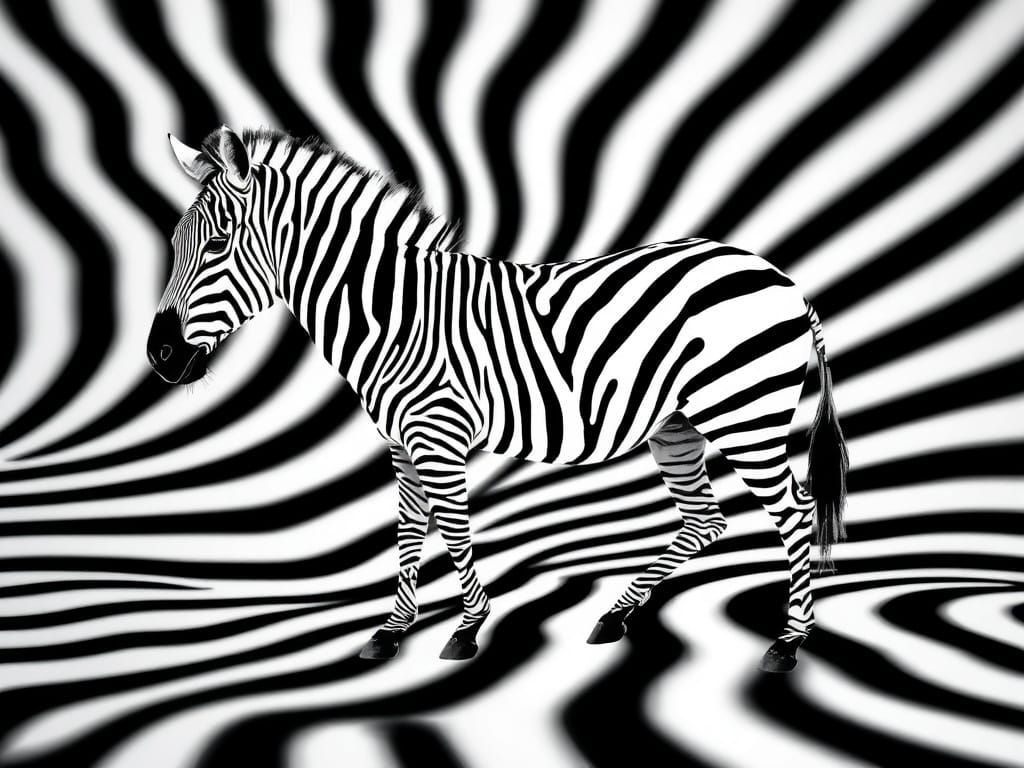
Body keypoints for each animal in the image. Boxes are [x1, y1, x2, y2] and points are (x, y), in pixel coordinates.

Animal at [148, 125, 848, 673]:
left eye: (216, 244)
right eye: (177, 242)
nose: (158, 356)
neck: (392, 311)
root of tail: (780, 276)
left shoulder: (439, 435)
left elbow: (454, 533)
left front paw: (465, 629)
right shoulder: (402, 444)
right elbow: (409, 535)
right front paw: (392, 631)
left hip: (747, 416)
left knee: (795, 515)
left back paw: (788, 643)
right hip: (676, 425)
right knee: (705, 520)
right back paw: (617, 615)